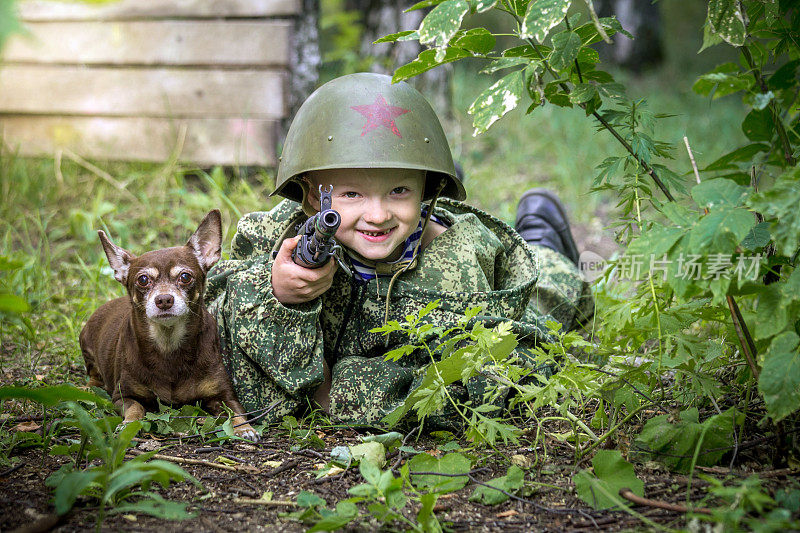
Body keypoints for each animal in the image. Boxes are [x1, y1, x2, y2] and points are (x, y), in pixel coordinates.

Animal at [80, 210, 258, 438]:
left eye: (185, 276)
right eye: (143, 280)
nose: (164, 299)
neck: (168, 343)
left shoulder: (224, 395)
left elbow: (236, 412)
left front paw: (245, 428)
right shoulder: (123, 396)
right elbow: (136, 408)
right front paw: (128, 424)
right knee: (94, 378)